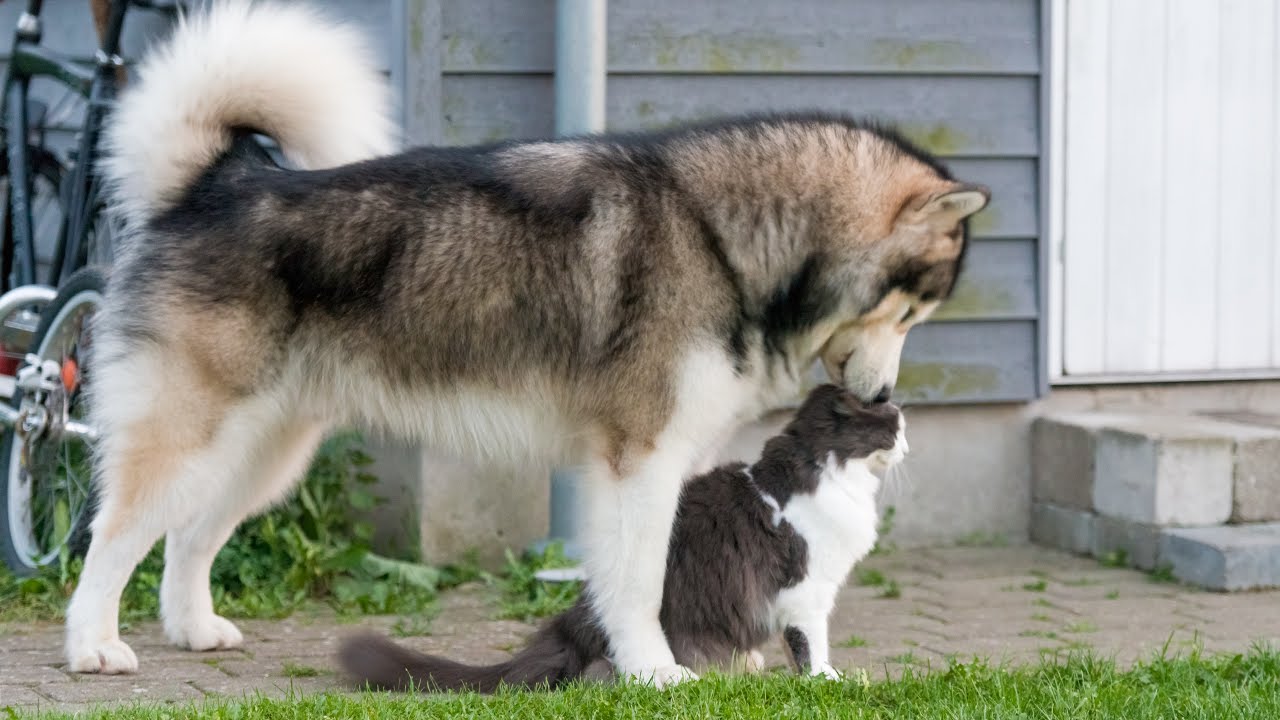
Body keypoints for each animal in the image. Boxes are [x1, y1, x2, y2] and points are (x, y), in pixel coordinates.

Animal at [335, 381, 906, 691]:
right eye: (895, 427)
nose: (906, 447)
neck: (827, 469)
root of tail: (576, 619)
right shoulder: (807, 591)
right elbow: (811, 645)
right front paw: (826, 680)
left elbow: (797, 646)